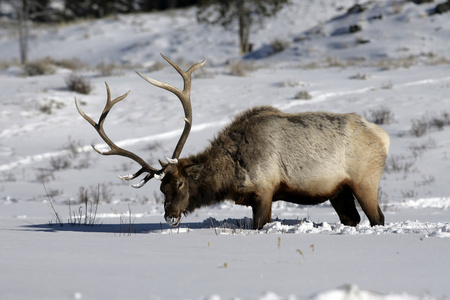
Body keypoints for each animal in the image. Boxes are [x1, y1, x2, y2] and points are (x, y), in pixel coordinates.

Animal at [75, 54, 388, 229]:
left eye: (180, 183)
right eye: (161, 188)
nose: (171, 217)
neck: (231, 174)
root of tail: (384, 137)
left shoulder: (265, 190)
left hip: (365, 180)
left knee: (378, 218)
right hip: (338, 190)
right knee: (352, 219)